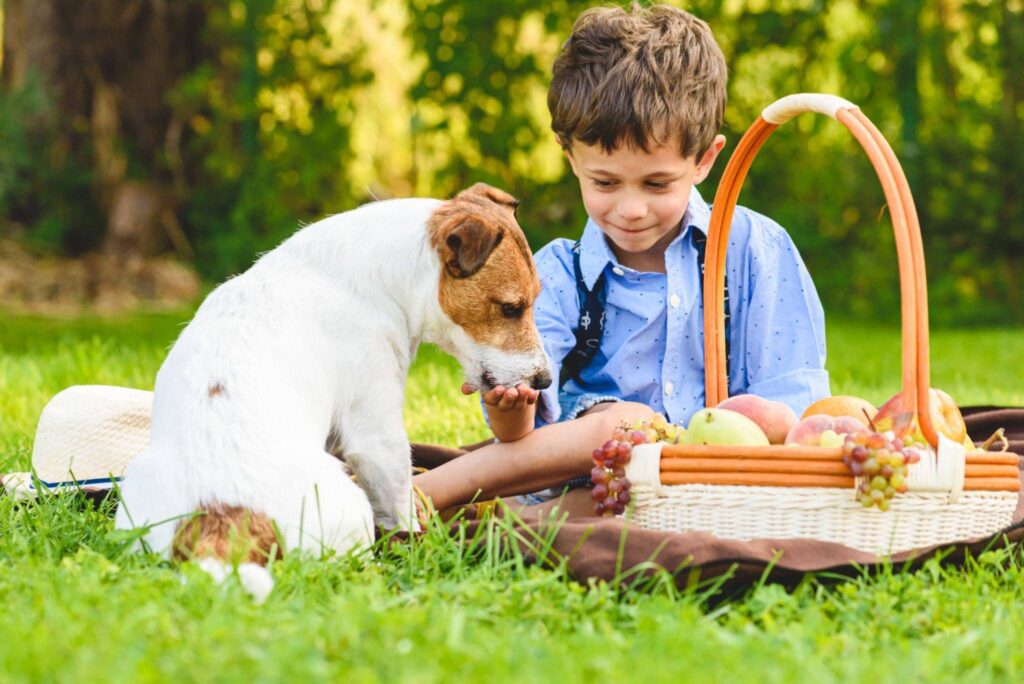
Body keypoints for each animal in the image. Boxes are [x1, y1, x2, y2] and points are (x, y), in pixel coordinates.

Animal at [114, 184, 552, 573]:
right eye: (512, 308)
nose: (545, 381)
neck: (388, 277)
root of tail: (221, 514)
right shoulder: (376, 433)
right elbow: (400, 504)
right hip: (346, 497)